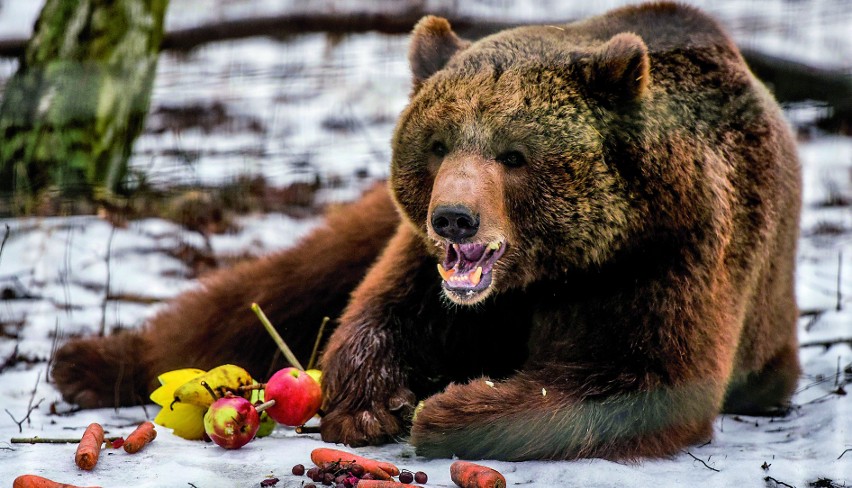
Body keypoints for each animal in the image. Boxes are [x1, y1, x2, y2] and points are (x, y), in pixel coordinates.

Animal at [51, 2, 800, 462]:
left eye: (515, 153)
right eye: (438, 144)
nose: (456, 217)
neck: (557, 266)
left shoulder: (672, 252)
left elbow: (641, 376)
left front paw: (449, 407)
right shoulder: (421, 258)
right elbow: (379, 313)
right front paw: (373, 401)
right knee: (275, 287)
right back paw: (87, 362)